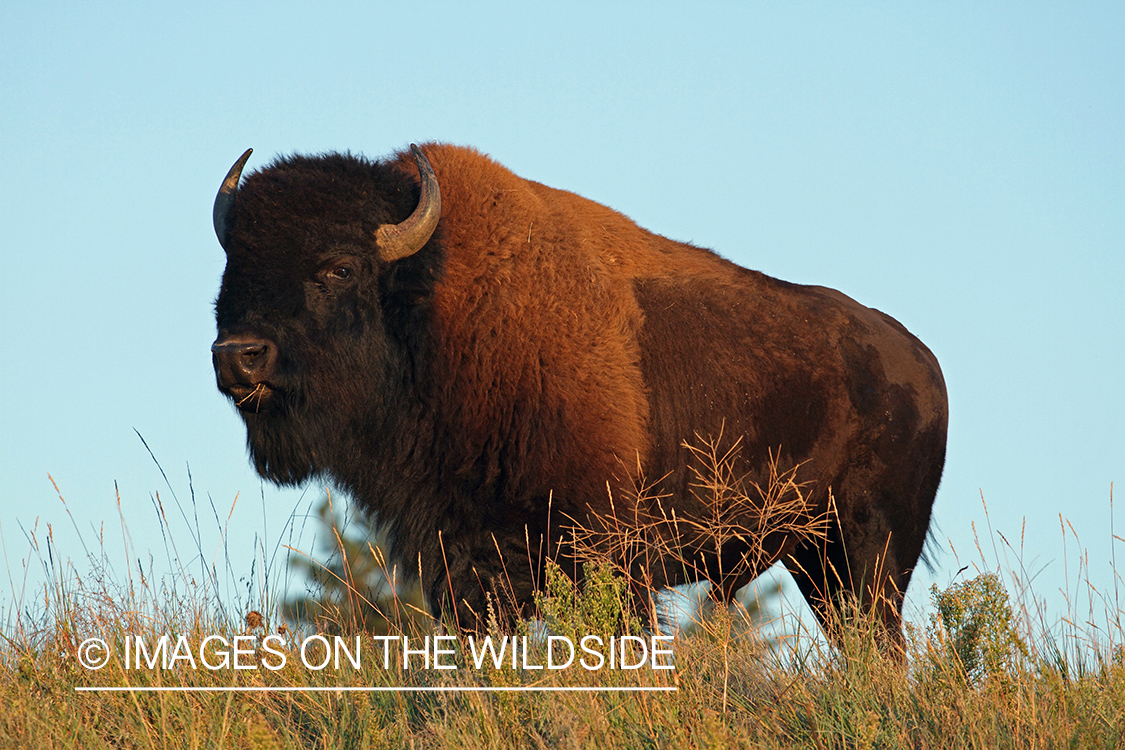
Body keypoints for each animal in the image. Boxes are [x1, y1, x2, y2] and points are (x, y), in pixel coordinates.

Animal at [210, 143, 948, 644]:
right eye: (232, 266)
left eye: (339, 267)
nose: (238, 355)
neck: (437, 307)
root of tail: (920, 362)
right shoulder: (461, 556)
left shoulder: (605, 548)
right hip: (815, 561)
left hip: (869, 554)